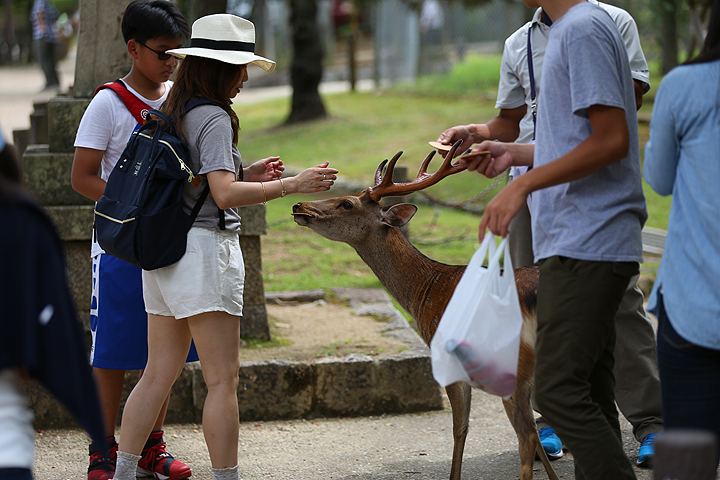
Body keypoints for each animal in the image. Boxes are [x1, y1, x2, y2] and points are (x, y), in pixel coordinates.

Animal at [290, 142, 560, 480]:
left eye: (347, 203)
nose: (298, 205)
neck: (425, 290)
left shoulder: (448, 354)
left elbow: (461, 428)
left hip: (515, 360)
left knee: (525, 433)